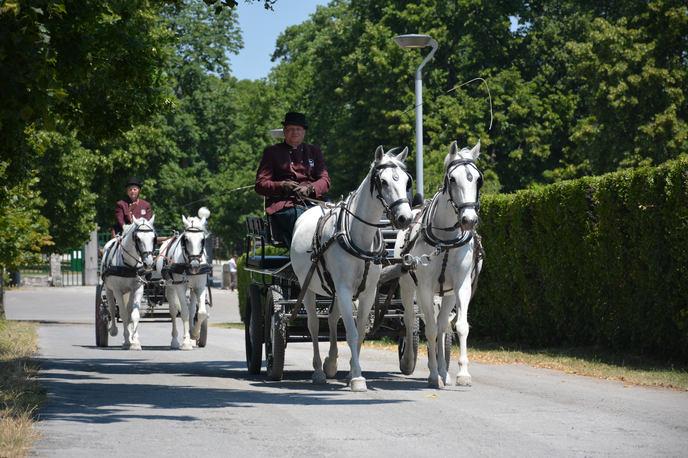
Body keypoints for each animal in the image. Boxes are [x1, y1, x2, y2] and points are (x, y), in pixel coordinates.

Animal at [101, 216, 157, 348]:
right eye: (138, 238)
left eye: (154, 238)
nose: (148, 263)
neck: (129, 264)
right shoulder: (117, 290)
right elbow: (123, 314)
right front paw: (127, 341)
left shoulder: (138, 289)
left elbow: (134, 315)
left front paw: (134, 341)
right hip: (109, 289)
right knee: (112, 308)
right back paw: (114, 330)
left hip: (129, 292)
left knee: (129, 310)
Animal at [157, 215, 211, 350]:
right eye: (186, 239)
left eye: (202, 239)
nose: (195, 266)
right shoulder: (180, 287)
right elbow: (184, 313)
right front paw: (186, 342)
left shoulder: (200, 286)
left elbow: (201, 312)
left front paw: (194, 334)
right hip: (170, 287)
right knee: (173, 310)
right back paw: (175, 341)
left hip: (192, 288)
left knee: (192, 309)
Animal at [292, 145, 414, 392]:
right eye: (383, 181)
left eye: (407, 181)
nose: (405, 218)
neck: (359, 238)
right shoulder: (346, 290)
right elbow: (350, 332)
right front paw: (357, 378)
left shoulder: (367, 293)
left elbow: (360, 332)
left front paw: (350, 373)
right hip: (307, 286)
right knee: (313, 325)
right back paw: (318, 371)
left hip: (335, 290)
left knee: (330, 320)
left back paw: (330, 364)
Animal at [392, 140, 484, 386]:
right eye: (452, 179)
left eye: (477, 179)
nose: (469, 220)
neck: (446, 241)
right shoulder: (424, 287)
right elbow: (430, 331)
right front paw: (433, 375)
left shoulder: (461, 286)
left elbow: (459, 327)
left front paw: (462, 373)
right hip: (407, 288)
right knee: (411, 320)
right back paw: (413, 362)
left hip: (447, 294)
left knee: (443, 325)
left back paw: (444, 371)